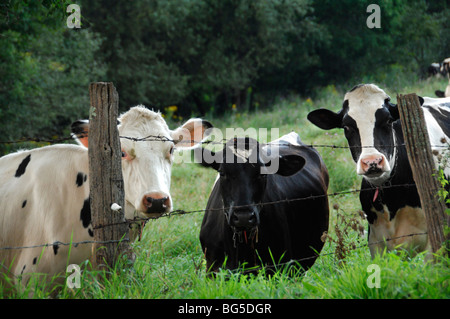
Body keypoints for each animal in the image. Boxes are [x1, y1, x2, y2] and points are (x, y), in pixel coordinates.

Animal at [306, 84, 450, 258]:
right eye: (346, 127)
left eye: (388, 120)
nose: (372, 161)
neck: (391, 197)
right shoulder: (376, 242)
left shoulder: (434, 241)